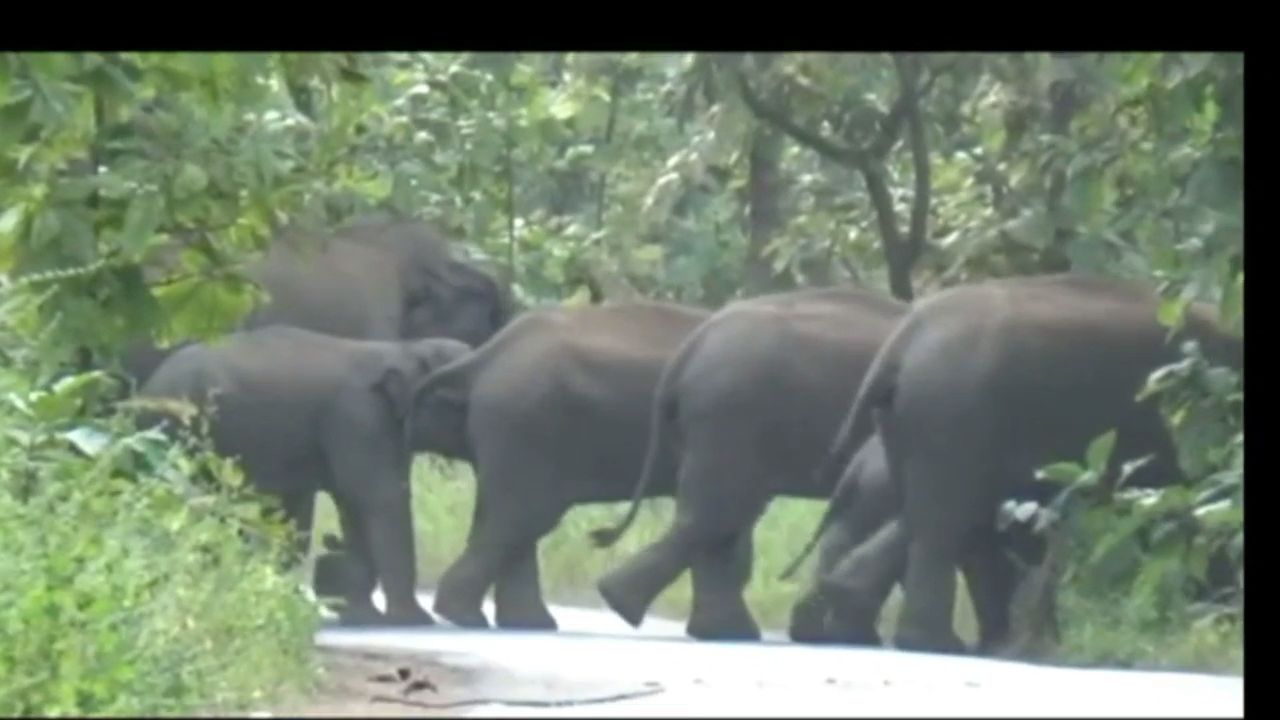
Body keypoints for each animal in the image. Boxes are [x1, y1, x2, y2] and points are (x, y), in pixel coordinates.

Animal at [136, 324, 476, 622]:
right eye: (460, 403)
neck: (404, 348)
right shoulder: (359, 417)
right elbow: (379, 497)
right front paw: (413, 620)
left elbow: (347, 503)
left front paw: (362, 614)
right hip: (178, 431)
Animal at [409, 297, 711, 627]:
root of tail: (487, 356)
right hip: (527, 425)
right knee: (521, 518)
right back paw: (470, 617)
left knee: (513, 520)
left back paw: (524, 623)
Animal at [808, 271, 1239, 653]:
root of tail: (901, 343)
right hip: (954, 415)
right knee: (944, 524)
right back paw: (941, 644)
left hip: (918, 424)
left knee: (934, 518)